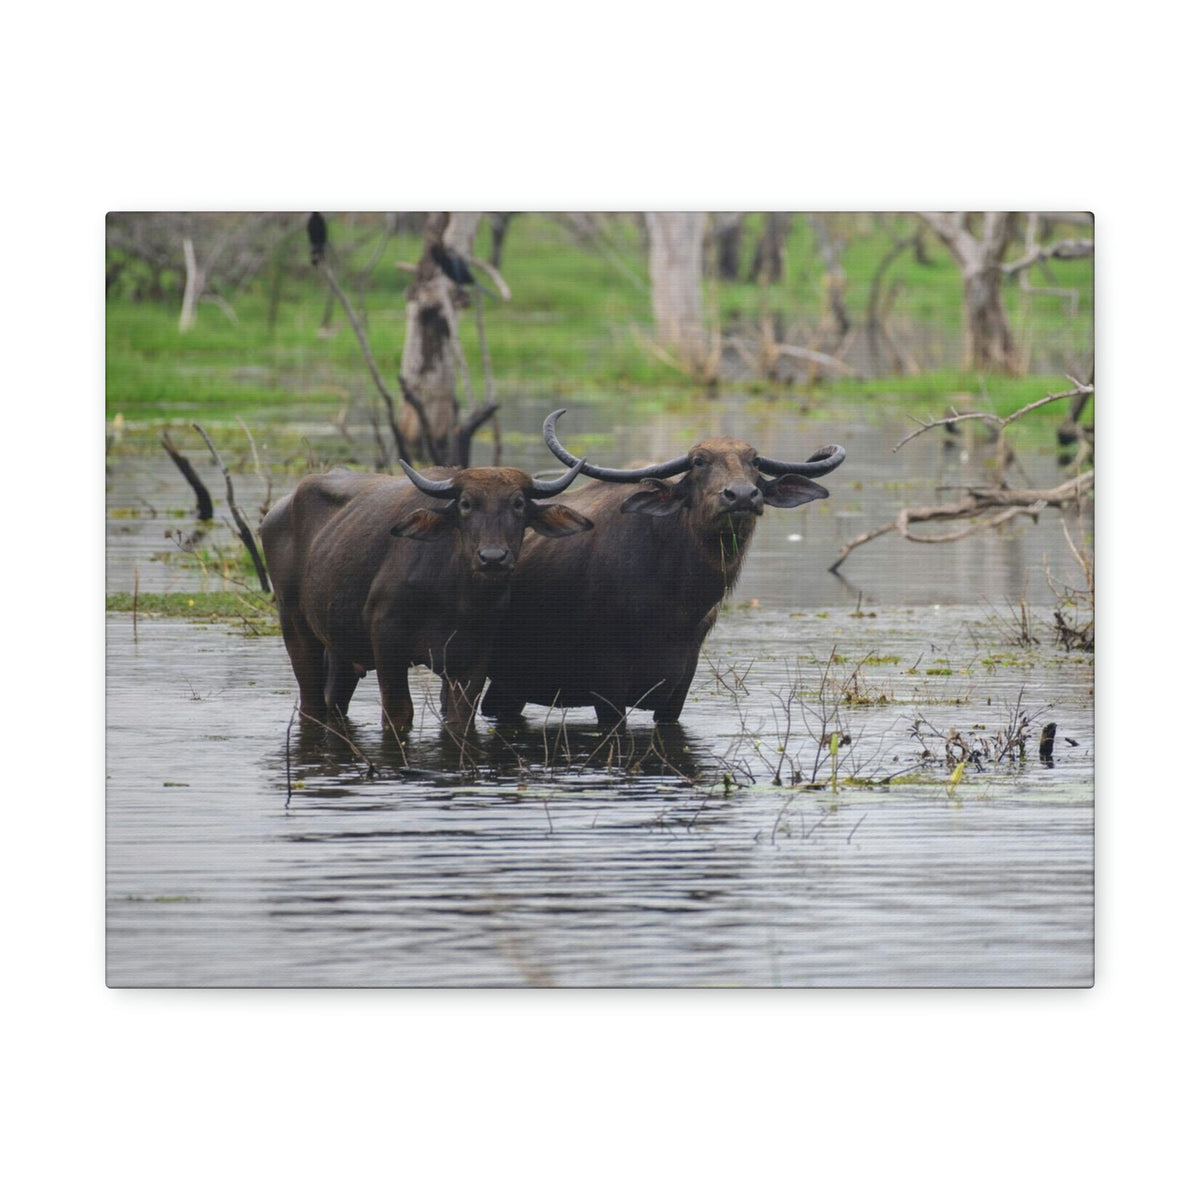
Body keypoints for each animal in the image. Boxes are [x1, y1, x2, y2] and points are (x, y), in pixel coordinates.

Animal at [260, 456, 593, 736]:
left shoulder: (474, 658)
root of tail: (276, 512)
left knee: (334, 701)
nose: (493, 558)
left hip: (340, 644)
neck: (457, 598)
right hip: (294, 625)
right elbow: (399, 714)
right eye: (465, 504)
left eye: (518, 503)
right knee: (311, 703)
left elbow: (461, 719)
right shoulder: (387, 644)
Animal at [480, 410, 846, 725]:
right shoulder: (607, 688)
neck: (674, 603)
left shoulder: (678, 690)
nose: (742, 495)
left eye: (754, 461)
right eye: (699, 462)